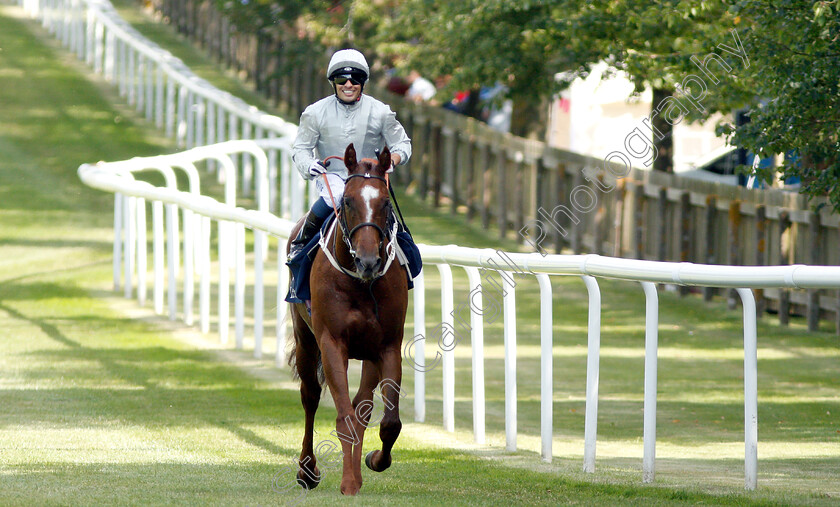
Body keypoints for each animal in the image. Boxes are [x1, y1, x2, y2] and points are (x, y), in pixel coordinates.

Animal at [286, 143, 410, 496]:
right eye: (348, 201)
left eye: (385, 203)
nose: (368, 261)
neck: (360, 283)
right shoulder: (331, 342)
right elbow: (343, 418)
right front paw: (348, 482)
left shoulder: (386, 346)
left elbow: (388, 421)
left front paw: (373, 462)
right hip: (305, 339)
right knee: (311, 397)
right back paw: (307, 470)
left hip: (367, 353)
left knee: (362, 409)